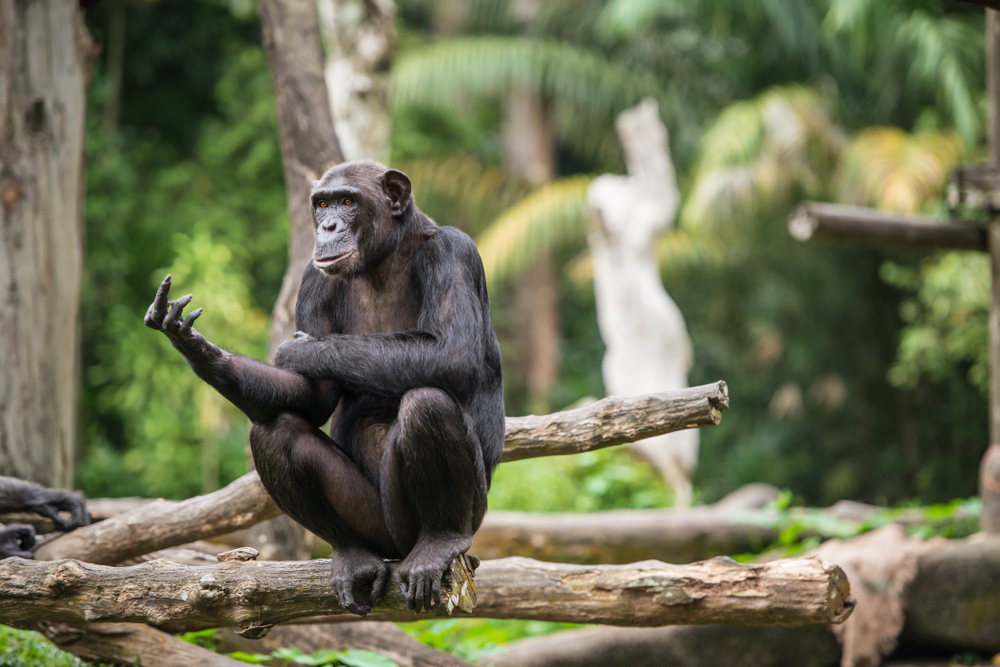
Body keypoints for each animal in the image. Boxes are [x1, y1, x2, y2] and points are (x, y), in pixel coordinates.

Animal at [145, 160, 504, 616]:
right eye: (322, 204)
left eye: (348, 201)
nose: (329, 225)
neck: (384, 258)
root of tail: (396, 550)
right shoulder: (311, 279)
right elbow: (313, 399)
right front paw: (200, 348)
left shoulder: (454, 252)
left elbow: (452, 354)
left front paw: (300, 351)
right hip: (373, 525)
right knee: (276, 432)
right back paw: (352, 556)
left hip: (459, 518)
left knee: (428, 404)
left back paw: (439, 543)